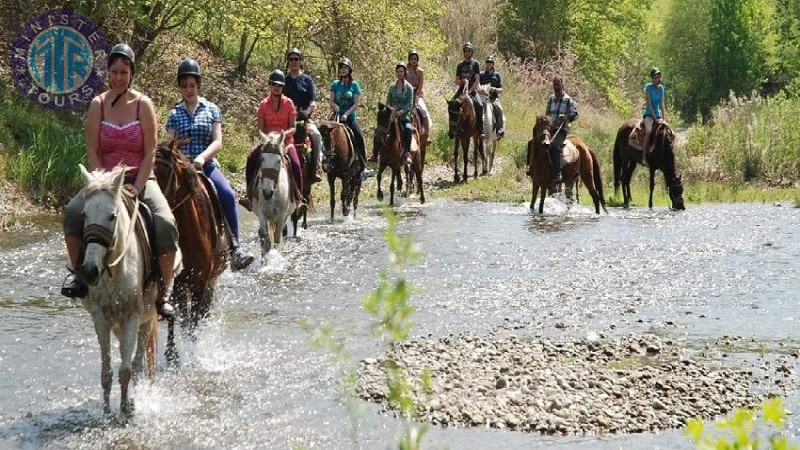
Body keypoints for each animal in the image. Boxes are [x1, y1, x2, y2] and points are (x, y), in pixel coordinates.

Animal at [78, 163, 162, 416]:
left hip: (147, 317)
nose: (90, 270)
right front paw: (106, 411)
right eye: (84, 215)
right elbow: (106, 372)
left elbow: (126, 370)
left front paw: (125, 408)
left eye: (112, 216)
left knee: (137, 362)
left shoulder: (133, 316)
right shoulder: (101, 318)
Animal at [154, 140, 230, 362]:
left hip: (211, 281)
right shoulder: (174, 283)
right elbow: (179, 318)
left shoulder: (200, 283)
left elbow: (194, 320)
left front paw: (195, 353)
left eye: (166, 173)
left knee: (202, 313)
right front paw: (172, 355)